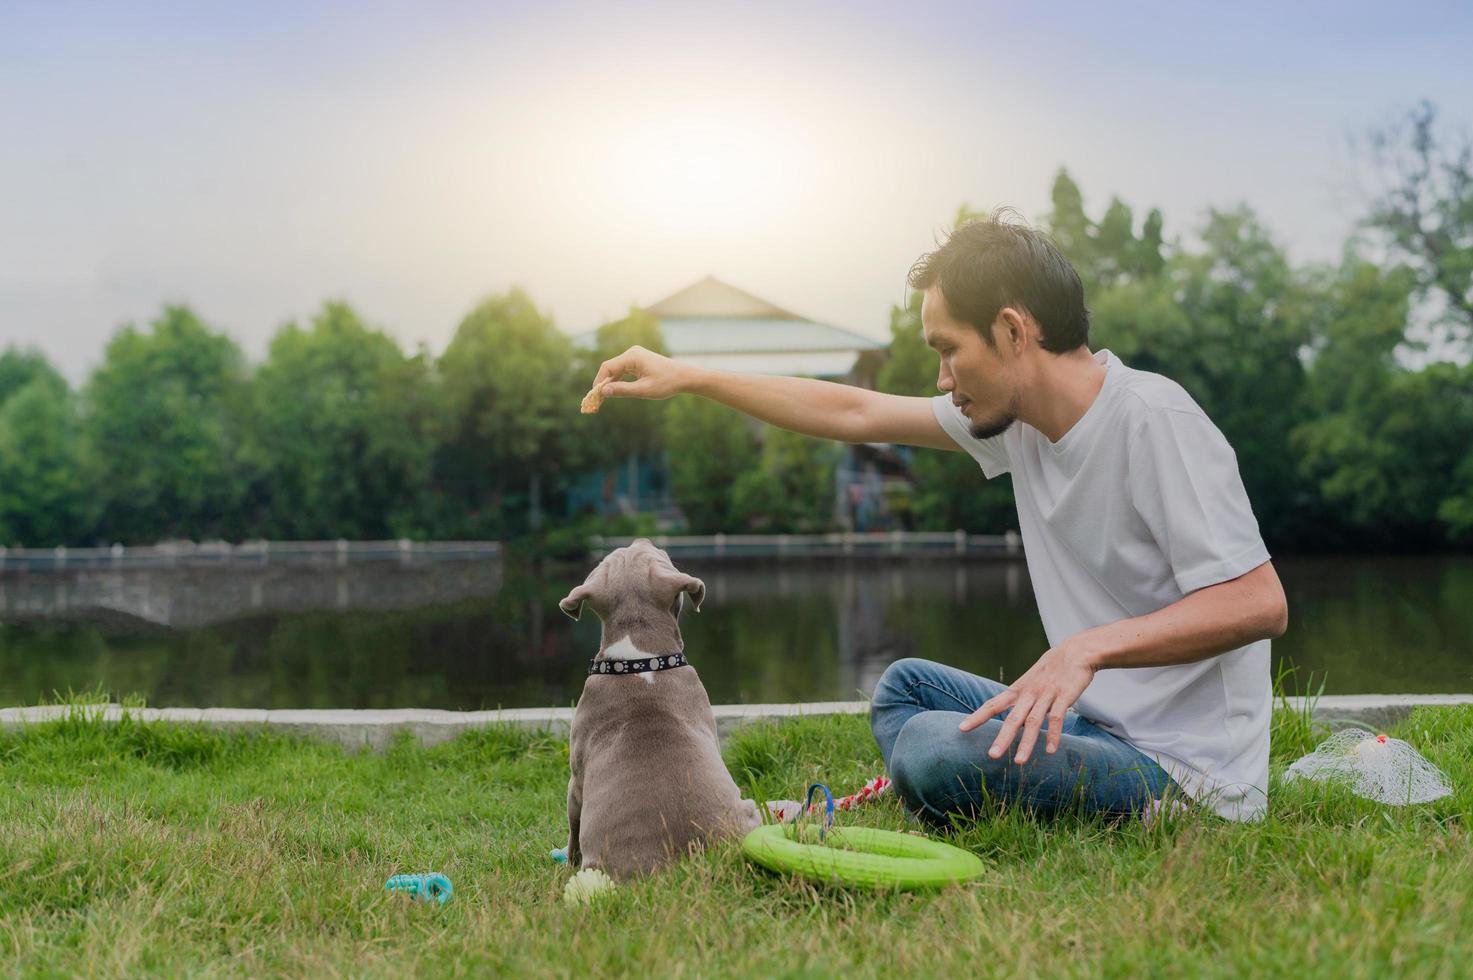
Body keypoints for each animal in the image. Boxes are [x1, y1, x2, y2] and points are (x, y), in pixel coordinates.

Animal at [553, 536, 754, 878]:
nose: (641, 538)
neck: (640, 659)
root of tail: (680, 863)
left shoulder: (575, 782)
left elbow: (573, 831)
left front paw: (567, 861)